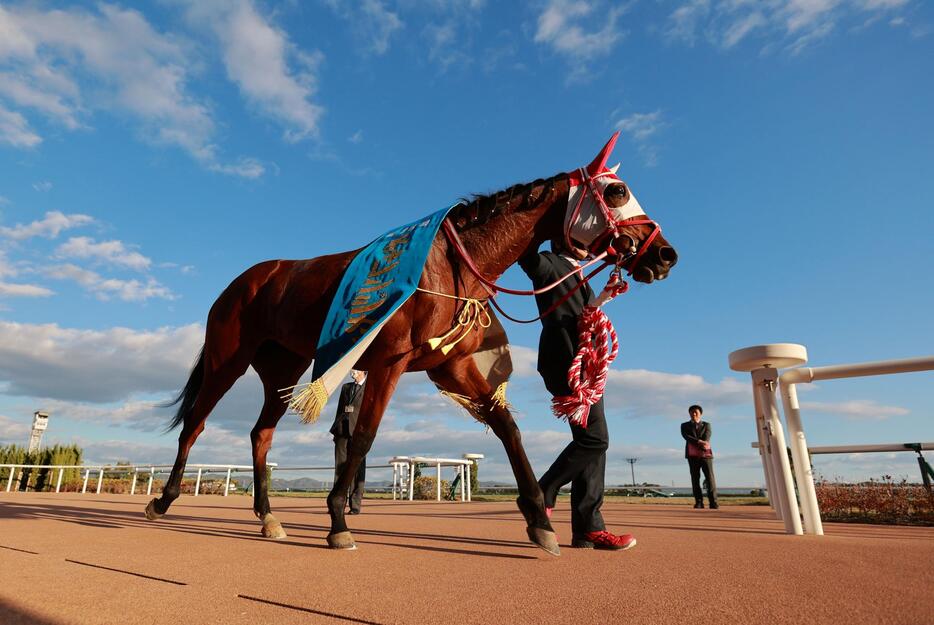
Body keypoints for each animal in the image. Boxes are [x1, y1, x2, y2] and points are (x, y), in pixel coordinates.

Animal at [143, 134, 676, 552]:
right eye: (617, 190)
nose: (665, 255)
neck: (448, 266)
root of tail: (245, 280)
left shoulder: (452, 365)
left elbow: (507, 427)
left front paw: (539, 519)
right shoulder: (389, 362)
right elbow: (363, 436)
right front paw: (337, 519)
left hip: (284, 368)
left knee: (261, 434)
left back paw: (268, 516)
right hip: (227, 358)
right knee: (195, 424)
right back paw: (164, 499)